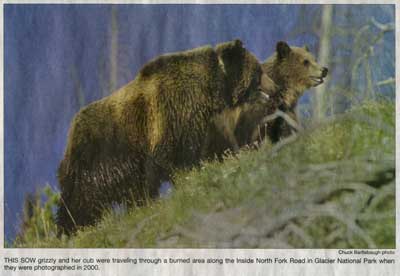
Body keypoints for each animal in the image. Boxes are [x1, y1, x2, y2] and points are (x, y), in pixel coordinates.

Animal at [57, 39, 276, 233]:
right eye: (259, 71)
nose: (275, 88)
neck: (208, 89)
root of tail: (70, 135)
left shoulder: (192, 124)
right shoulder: (169, 119)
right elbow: (172, 160)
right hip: (96, 160)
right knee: (79, 202)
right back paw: (71, 229)